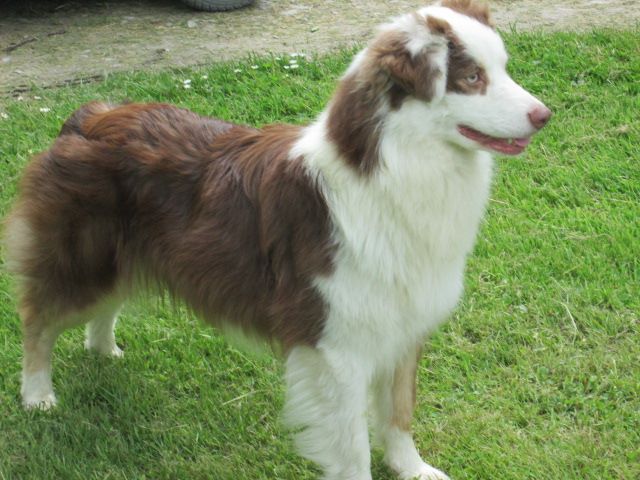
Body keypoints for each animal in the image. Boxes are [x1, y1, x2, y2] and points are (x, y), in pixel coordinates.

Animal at [4, 1, 551, 479]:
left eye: (502, 68)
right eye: (472, 78)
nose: (544, 115)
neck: (394, 168)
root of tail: (87, 115)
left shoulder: (403, 325)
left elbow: (398, 415)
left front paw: (413, 470)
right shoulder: (335, 346)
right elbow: (353, 445)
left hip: (121, 255)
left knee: (105, 305)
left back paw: (103, 350)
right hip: (82, 260)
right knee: (38, 320)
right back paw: (37, 396)